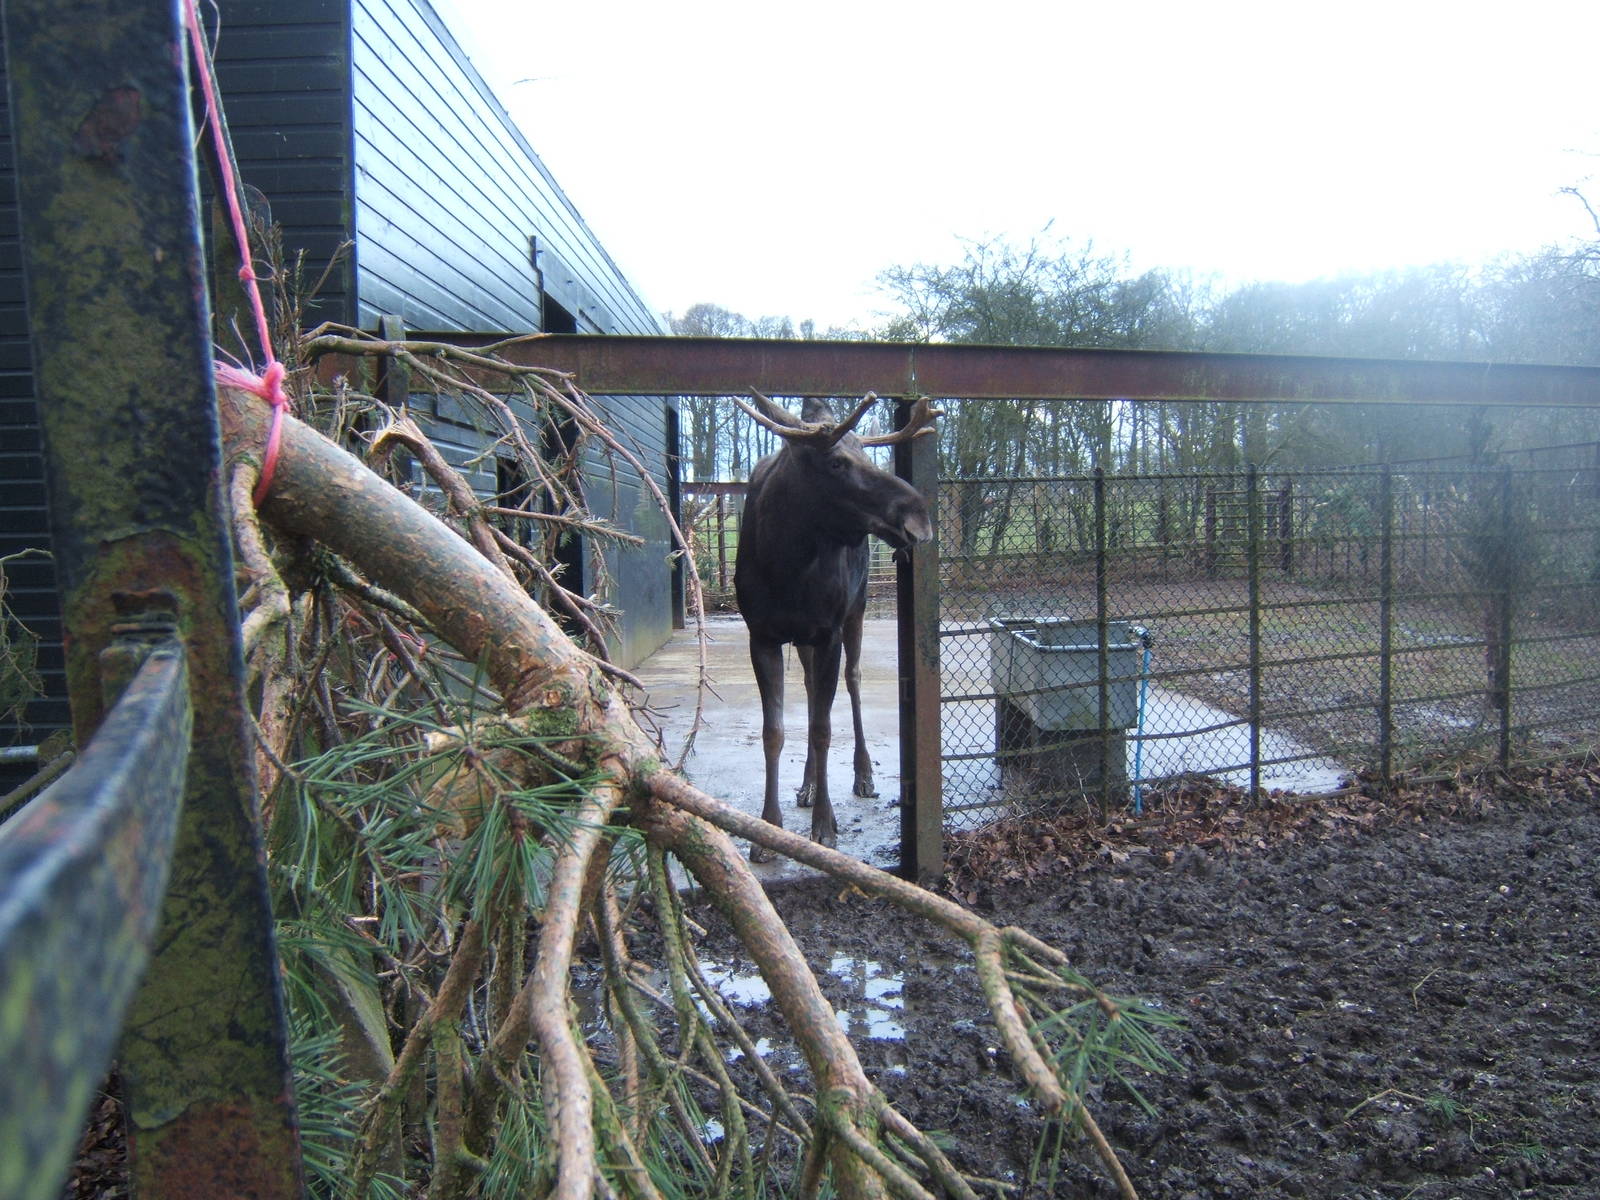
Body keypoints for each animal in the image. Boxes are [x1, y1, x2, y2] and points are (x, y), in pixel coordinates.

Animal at [733, 391, 939, 859]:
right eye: (836, 462)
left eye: (866, 452)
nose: (919, 518)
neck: (786, 564)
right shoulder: (762, 635)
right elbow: (774, 731)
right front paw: (767, 829)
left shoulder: (828, 632)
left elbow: (824, 729)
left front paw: (825, 825)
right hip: (805, 638)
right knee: (812, 692)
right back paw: (808, 784)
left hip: (855, 610)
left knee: (853, 678)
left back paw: (863, 775)